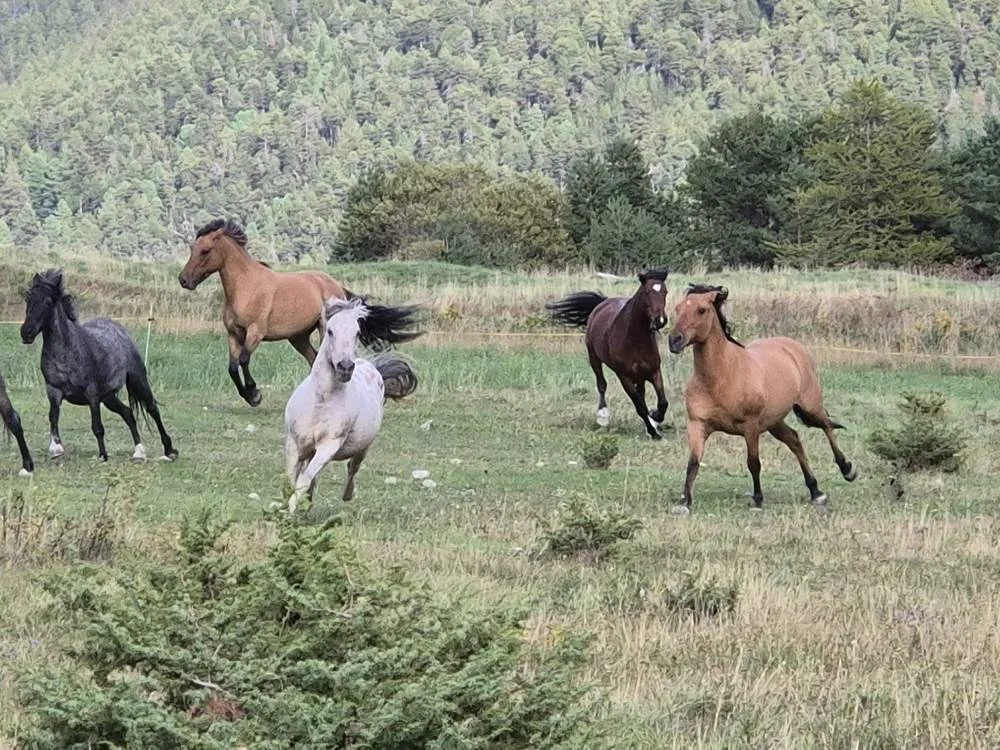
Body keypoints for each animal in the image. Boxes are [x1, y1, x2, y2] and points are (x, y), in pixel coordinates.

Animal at [20, 269, 178, 463]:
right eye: (28, 298)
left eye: (48, 301)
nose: (26, 333)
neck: (68, 352)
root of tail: (120, 330)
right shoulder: (54, 391)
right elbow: (53, 417)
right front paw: (56, 449)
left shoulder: (92, 395)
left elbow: (97, 426)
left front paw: (103, 455)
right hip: (109, 397)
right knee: (128, 413)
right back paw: (139, 452)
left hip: (137, 380)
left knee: (152, 409)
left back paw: (169, 450)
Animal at [178, 218, 423, 407]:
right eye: (192, 249)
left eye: (205, 251)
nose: (184, 280)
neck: (246, 287)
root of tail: (336, 287)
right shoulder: (234, 334)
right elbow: (232, 367)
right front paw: (249, 396)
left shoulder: (255, 333)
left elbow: (245, 360)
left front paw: (255, 395)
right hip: (298, 337)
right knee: (314, 360)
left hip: (323, 331)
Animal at [283, 296, 418, 513]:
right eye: (330, 331)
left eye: (357, 333)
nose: (345, 367)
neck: (320, 402)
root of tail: (370, 366)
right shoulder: (294, 443)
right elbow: (291, 478)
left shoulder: (328, 446)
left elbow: (303, 479)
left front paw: (292, 509)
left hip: (362, 448)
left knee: (352, 468)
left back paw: (346, 495)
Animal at [546, 269, 670, 439]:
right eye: (646, 292)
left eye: (665, 291)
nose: (660, 320)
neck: (635, 339)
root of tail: (602, 303)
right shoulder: (624, 377)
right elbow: (640, 406)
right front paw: (653, 431)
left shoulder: (654, 372)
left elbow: (663, 403)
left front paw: (655, 418)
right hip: (594, 358)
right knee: (602, 384)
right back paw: (603, 416)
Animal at [666, 284, 857, 512]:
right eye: (677, 308)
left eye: (701, 310)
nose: (674, 341)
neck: (722, 377)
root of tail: (793, 346)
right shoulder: (698, 424)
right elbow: (693, 463)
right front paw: (684, 501)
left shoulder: (751, 426)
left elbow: (753, 462)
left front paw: (757, 499)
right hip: (774, 421)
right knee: (795, 439)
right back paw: (816, 491)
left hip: (810, 406)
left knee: (827, 426)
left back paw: (847, 470)